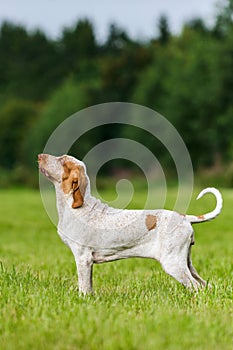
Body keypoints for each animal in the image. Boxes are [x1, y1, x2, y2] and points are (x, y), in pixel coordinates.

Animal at [37, 154, 222, 294]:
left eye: (62, 160)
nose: (39, 156)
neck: (77, 207)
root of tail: (184, 217)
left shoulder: (83, 258)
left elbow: (84, 287)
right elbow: (89, 287)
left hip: (173, 263)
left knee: (196, 286)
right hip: (186, 262)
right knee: (205, 285)